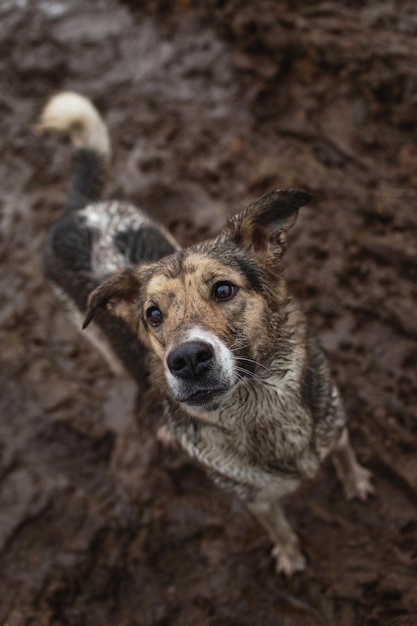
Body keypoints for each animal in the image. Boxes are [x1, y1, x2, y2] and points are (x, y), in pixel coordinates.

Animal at [37, 90, 372, 572]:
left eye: (223, 289)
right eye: (153, 314)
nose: (187, 360)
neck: (259, 406)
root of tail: (78, 210)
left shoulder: (334, 423)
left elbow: (343, 454)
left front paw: (356, 480)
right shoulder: (255, 498)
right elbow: (278, 526)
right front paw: (290, 555)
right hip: (99, 341)